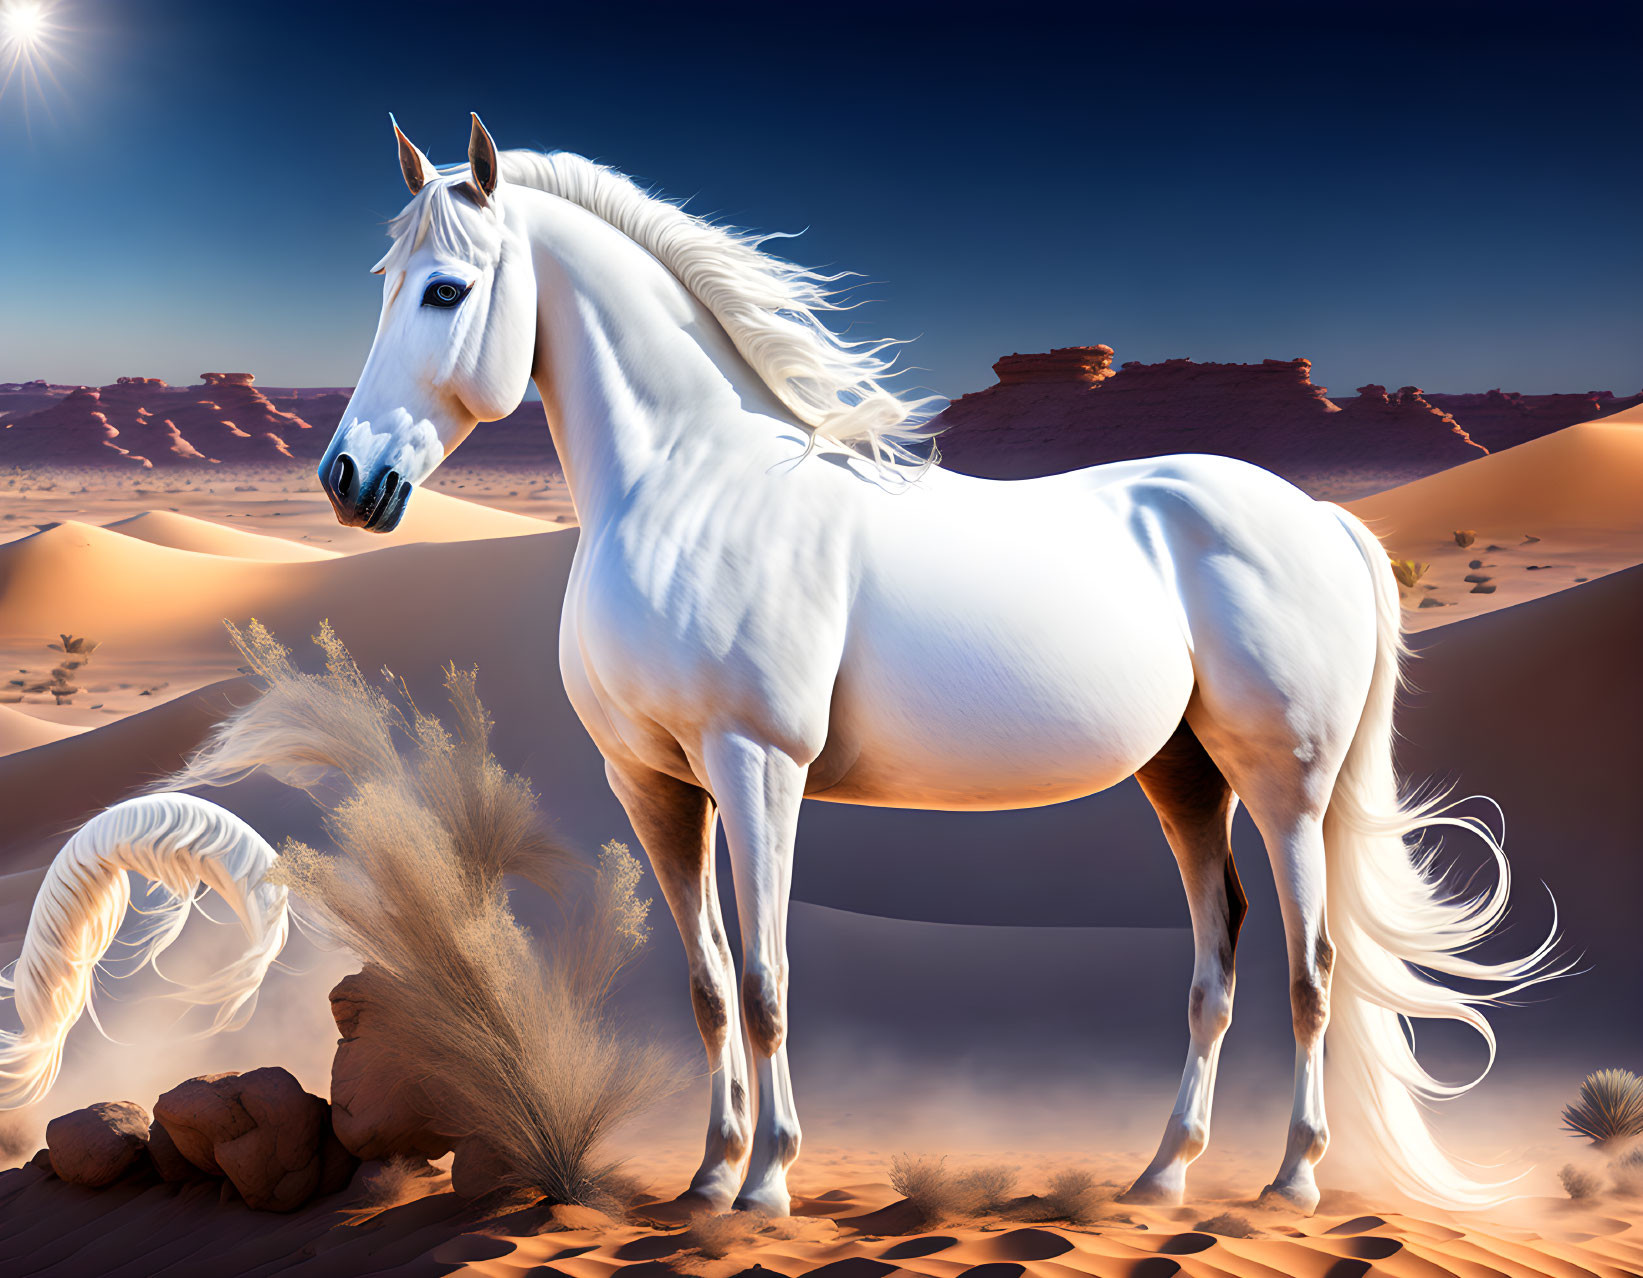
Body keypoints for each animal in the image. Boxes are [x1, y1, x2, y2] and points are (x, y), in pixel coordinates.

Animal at [313, 114, 1557, 1209]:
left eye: (444, 290)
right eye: (377, 282)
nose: (345, 479)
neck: (693, 485)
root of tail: (1324, 520)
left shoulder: (757, 768)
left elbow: (764, 982)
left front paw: (765, 1182)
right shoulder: (653, 786)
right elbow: (709, 985)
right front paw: (709, 1176)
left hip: (1283, 780)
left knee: (1312, 966)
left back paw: (1291, 1178)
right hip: (1183, 774)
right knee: (1220, 956)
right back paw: (1161, 1174)